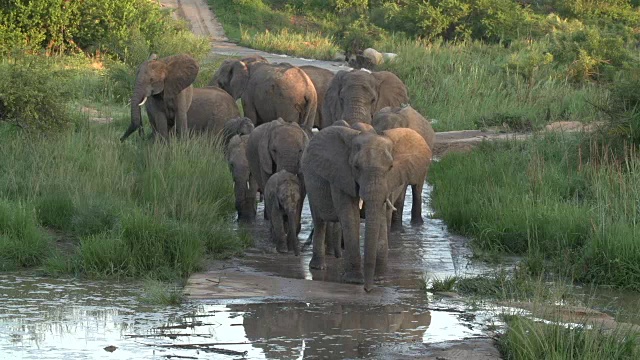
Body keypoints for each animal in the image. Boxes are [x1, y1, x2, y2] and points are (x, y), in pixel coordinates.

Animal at [304, 125, 430, 292]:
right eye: (356, 167)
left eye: (391, 167)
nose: (368, 289)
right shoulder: (342, 176)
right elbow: (350, 216)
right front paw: (354, 280)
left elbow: (381, 217)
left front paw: (380, 279)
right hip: (310, 182)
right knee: (319, 221)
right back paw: (318, 267)